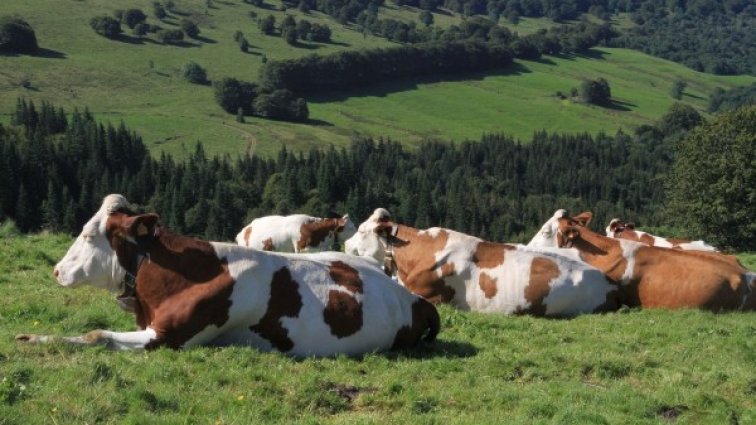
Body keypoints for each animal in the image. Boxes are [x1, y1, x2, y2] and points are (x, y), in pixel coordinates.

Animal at [16, 195, 438, 354]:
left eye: (89, 235)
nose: (56, 269)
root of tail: (411, 297)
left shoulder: (169, 338)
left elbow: (97, 335)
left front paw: (30, 339)